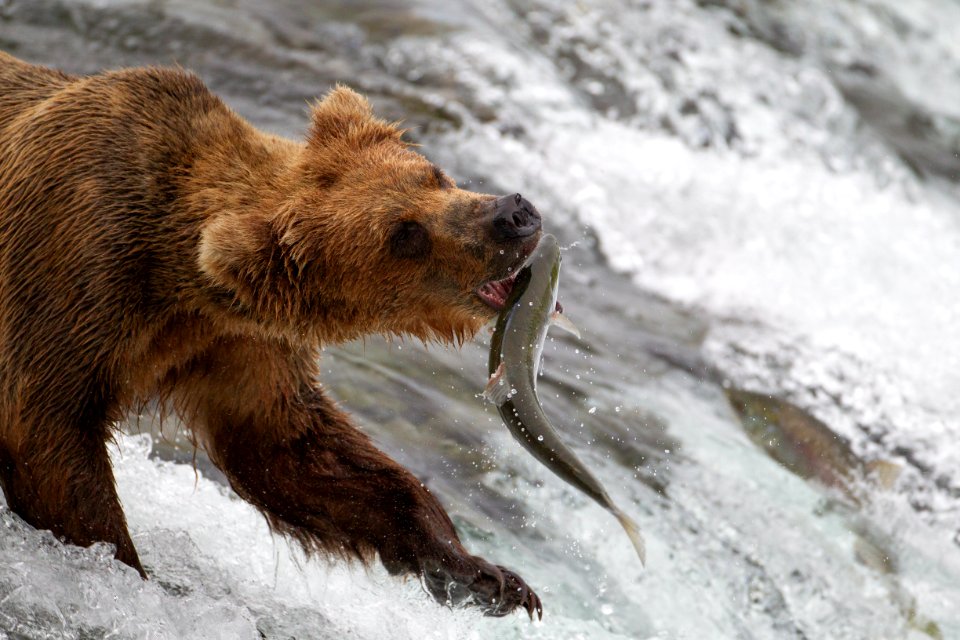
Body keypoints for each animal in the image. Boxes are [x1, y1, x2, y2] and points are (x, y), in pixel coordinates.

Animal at [0, 51, 544, 620]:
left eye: (433, 175)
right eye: (405, 233)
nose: (513, 214)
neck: (178, 280)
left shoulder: (236, 343)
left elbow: (292, 449)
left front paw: (487, 576)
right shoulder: (74, 268)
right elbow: (49, 430)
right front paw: (133, 578)